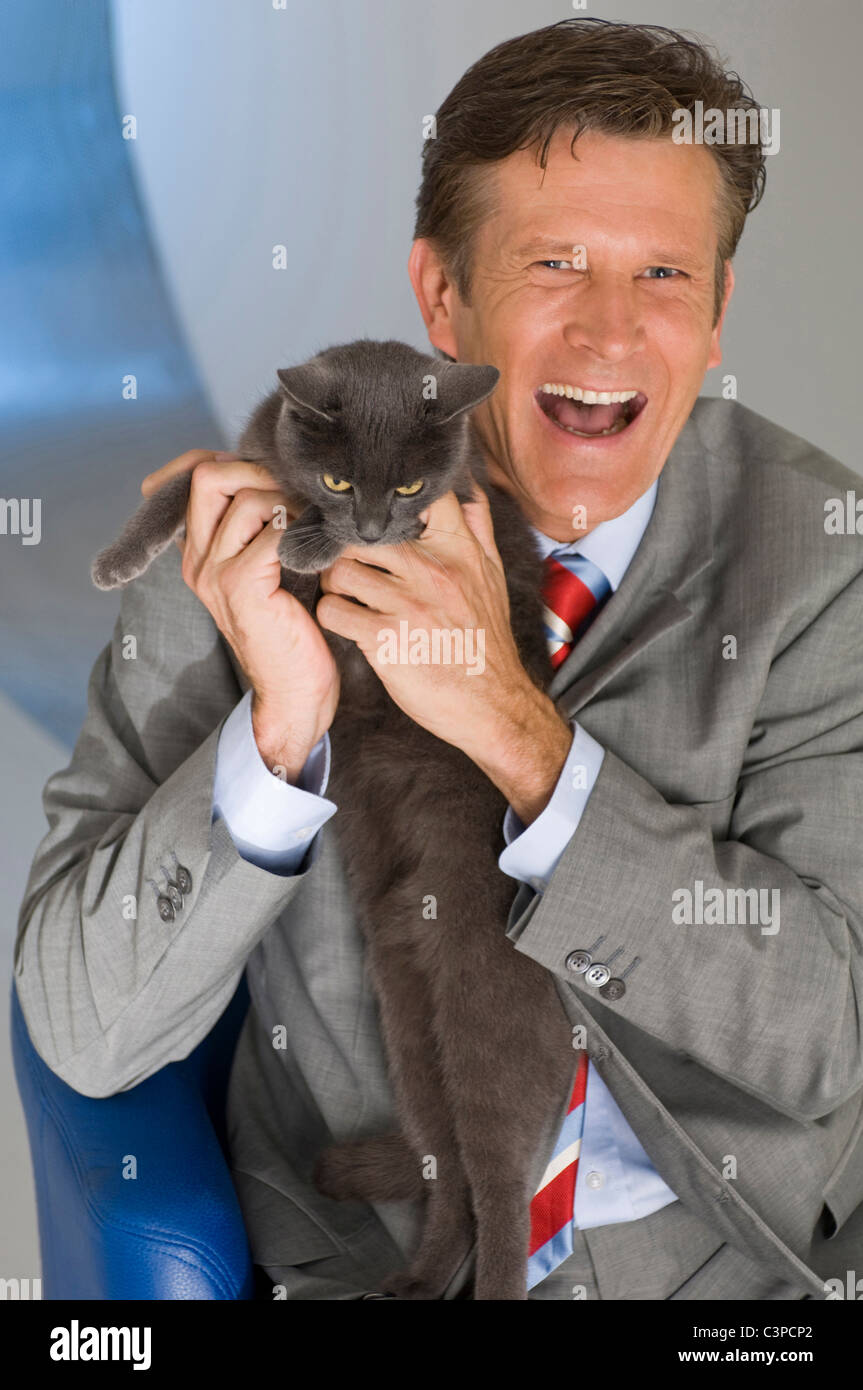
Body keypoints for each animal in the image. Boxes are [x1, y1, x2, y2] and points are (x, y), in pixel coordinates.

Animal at [91, 341, 578, 1295]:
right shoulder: (241, 464)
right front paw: (121, 556)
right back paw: (414, 1282)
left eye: (409, 488)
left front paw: (302, 536)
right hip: (404, 1011)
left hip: (485, 1009)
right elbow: (196, 478)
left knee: (499, 1187)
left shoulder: (446, 519)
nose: (373, 528)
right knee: (447, 1171)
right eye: (340, 476)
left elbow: (310, 537)